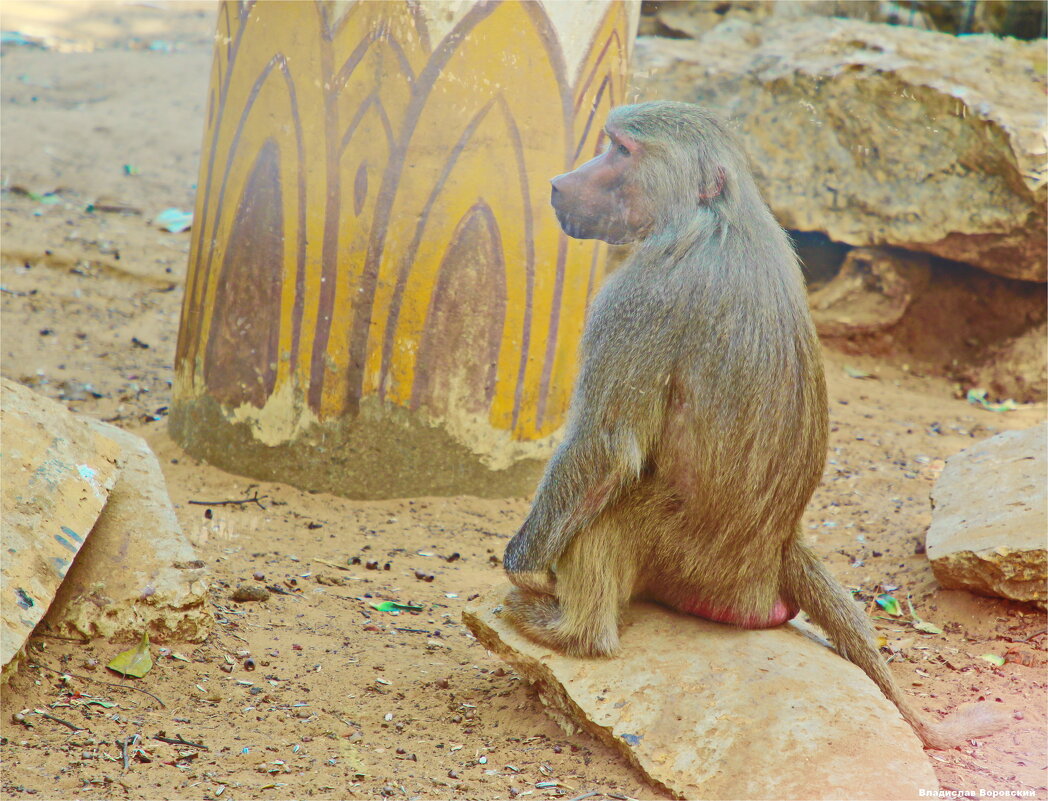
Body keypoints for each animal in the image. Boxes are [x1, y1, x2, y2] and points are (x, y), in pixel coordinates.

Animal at [503, 101, 1010, 750]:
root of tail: (778, 548)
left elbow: (606, 446)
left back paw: (568, 632)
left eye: (620, 149)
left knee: (604, 512)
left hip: (684, 558)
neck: (717, 214)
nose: (559, 184)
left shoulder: (642, 293)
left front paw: (524, 566)